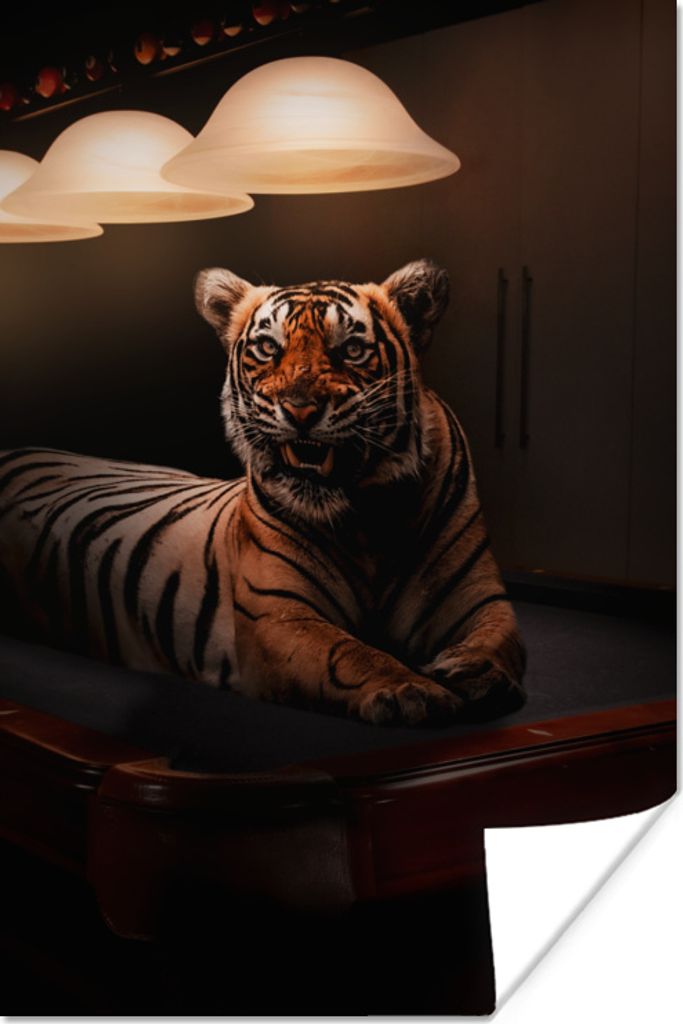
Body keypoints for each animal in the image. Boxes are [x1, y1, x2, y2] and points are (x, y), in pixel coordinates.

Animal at [0, 259, 525, 726]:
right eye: (269, 347)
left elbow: (501, 638)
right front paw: (411, 690)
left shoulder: (479, 600)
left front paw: (469, 670)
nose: (300, 408)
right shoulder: (279, 615)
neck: (366, 524)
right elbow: (348, 653)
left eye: (352, 348)